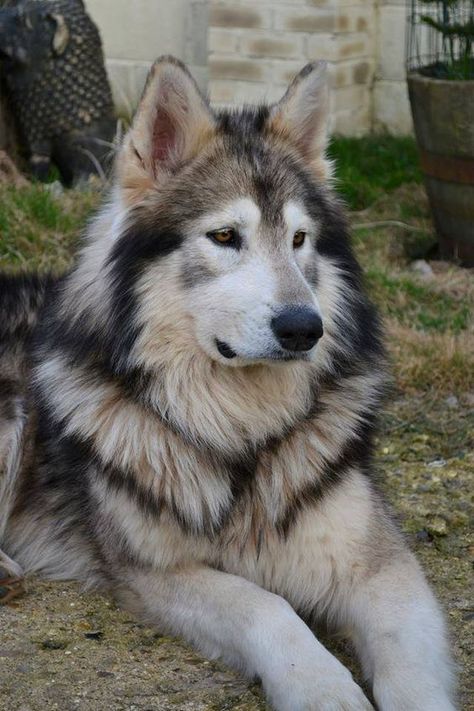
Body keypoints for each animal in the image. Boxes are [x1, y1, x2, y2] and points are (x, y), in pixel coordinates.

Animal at [0, 58, 458, 708]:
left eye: (299, 240)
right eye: (223, 237)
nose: (304, 328)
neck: (241, 433)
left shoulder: (382, 566)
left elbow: (411, 675)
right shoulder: (157, 572)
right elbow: (268, 608)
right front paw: (323, 688)